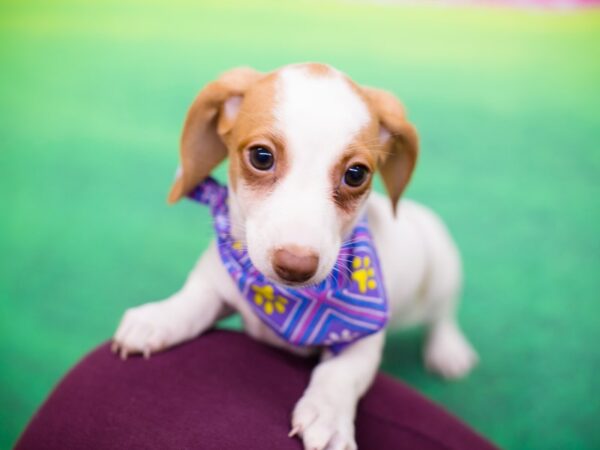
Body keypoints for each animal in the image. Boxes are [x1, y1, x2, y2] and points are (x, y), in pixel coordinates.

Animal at [112, 63, 478, 450]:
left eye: (356, 174)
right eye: (261, 156)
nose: (296, 266)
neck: (284, 300)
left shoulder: (364, 340)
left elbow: (340, 372)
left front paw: (328, 414)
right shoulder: (219, 281)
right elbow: (194, 301)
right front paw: (159, 318)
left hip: (442, 269)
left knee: (443, 314)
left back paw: (448, 349)